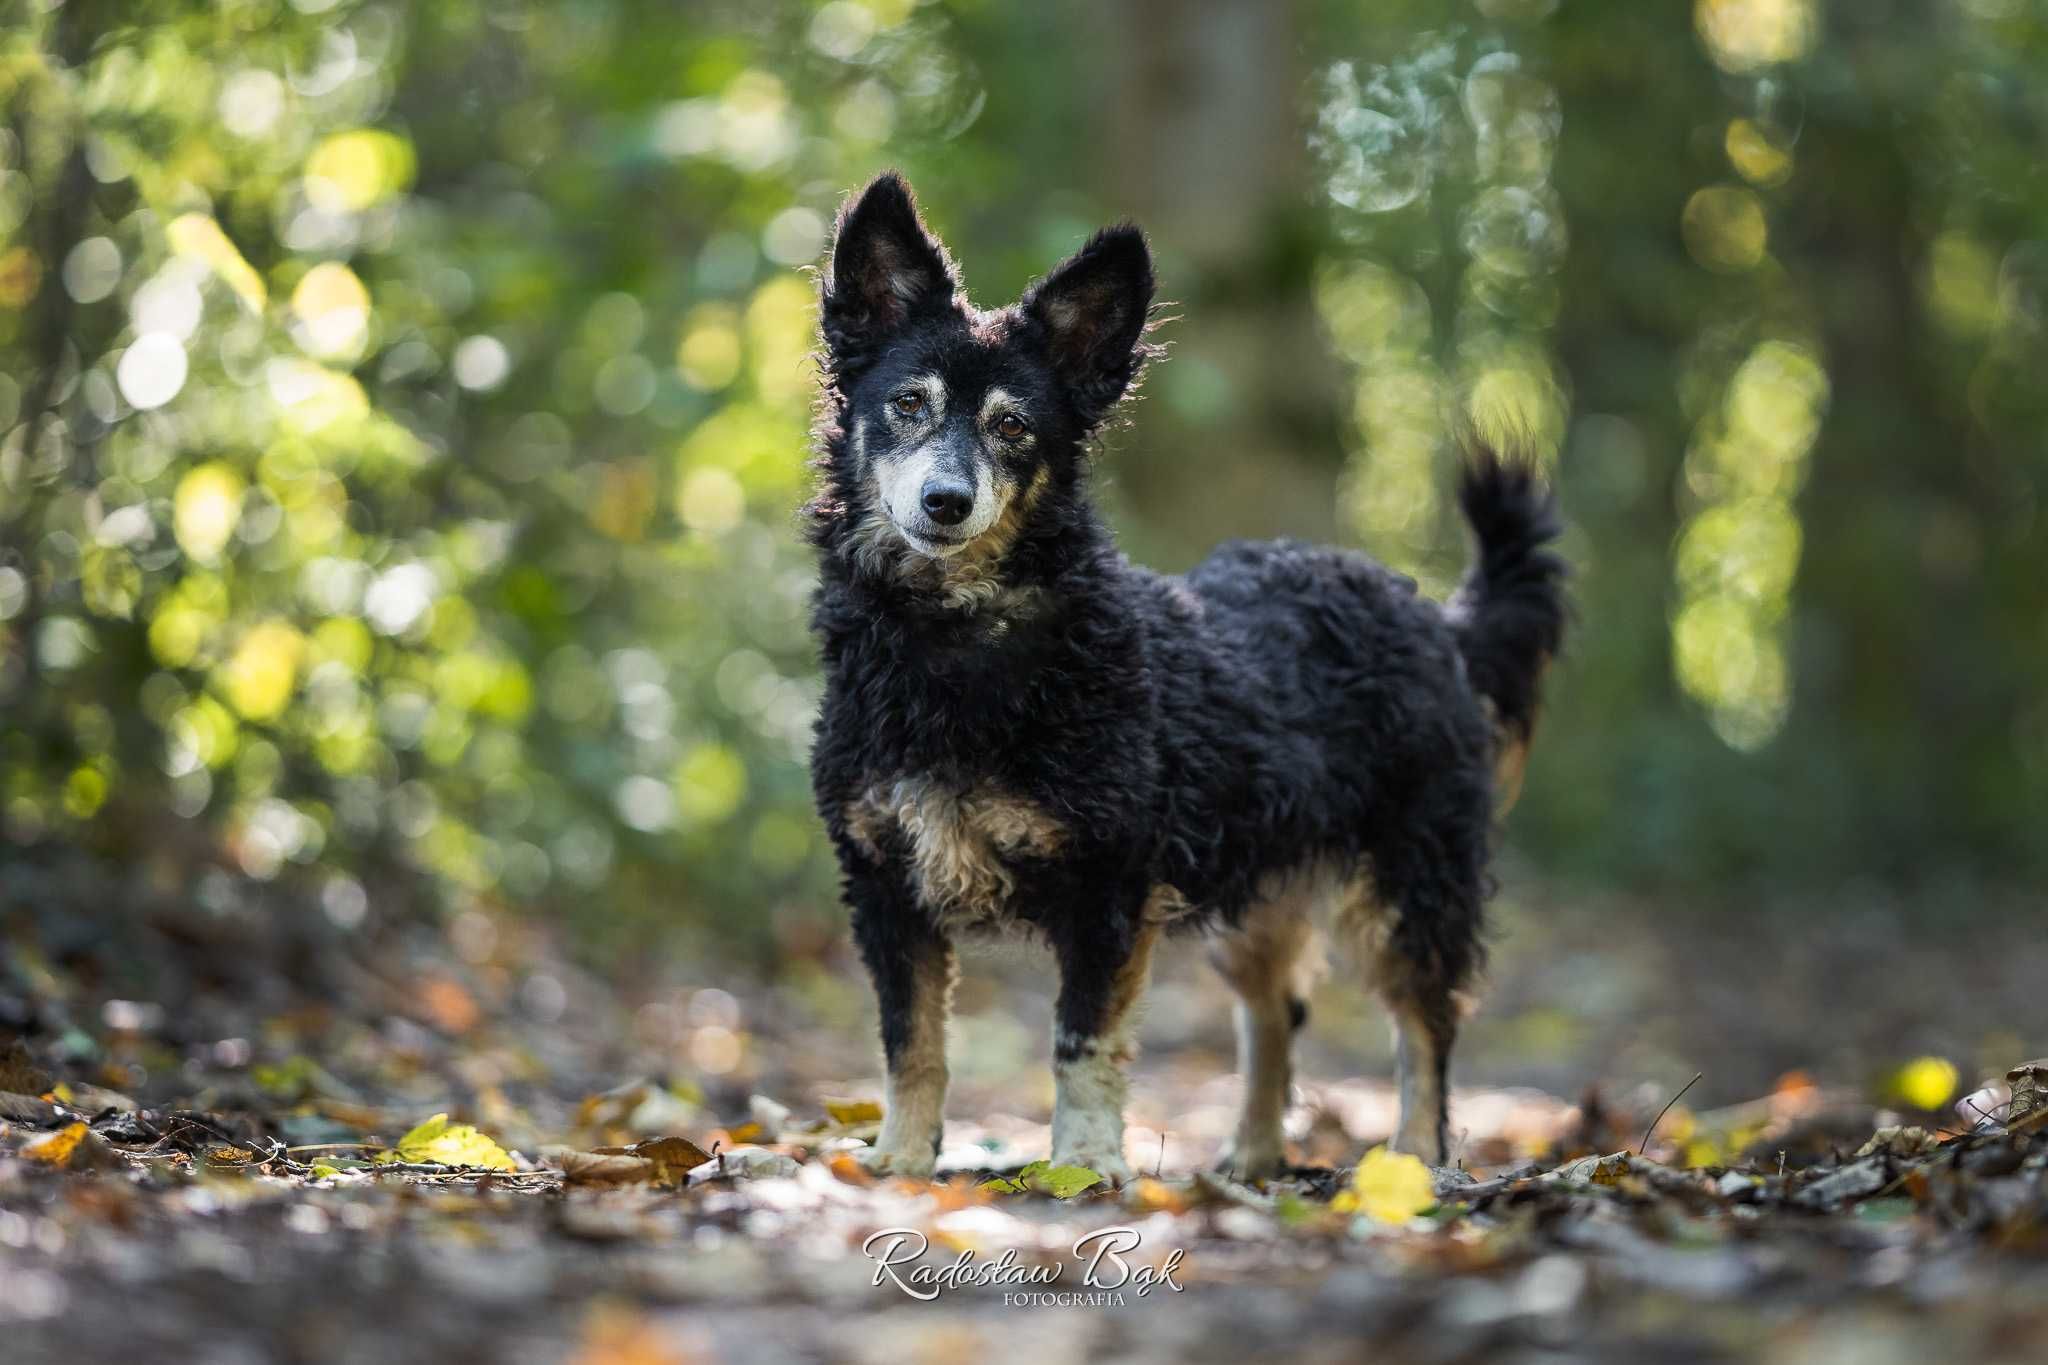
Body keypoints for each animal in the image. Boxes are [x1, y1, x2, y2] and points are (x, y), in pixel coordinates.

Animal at [798, 170, 1564, 1178]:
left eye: (1013, 427)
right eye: (908, 403)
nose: (946, 501)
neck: (952, 641)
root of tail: (1435, 618)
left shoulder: (1109, 885)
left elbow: (1081, 1042)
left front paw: (1084, 1163)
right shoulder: (884, 880)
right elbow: (910, 1040)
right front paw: (898, 1159)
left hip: (1409, 887)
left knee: (1425, 1032)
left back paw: (1413, 1162)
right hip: (1258, 896)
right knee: (1277, 1012)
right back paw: (1253, 1159)